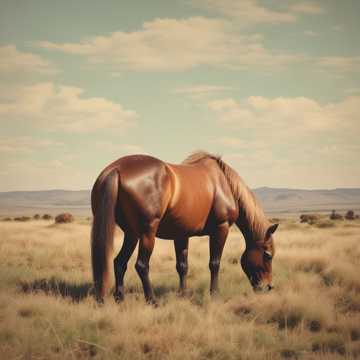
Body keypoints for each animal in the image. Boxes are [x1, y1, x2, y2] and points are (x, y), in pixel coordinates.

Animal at [90, 150, 278, 304]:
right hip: (146, 233)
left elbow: (182, 266)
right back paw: (152, 300)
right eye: (268, 255)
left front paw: (183, 294)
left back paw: (119, 298)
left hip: (132, 234)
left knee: (119, 262)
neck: (224, 184)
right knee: (141, 265)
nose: (268, 287)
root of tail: (116, 169)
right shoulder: (221, 228)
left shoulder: (181, 234)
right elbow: (214, 263)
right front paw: (215, 295)